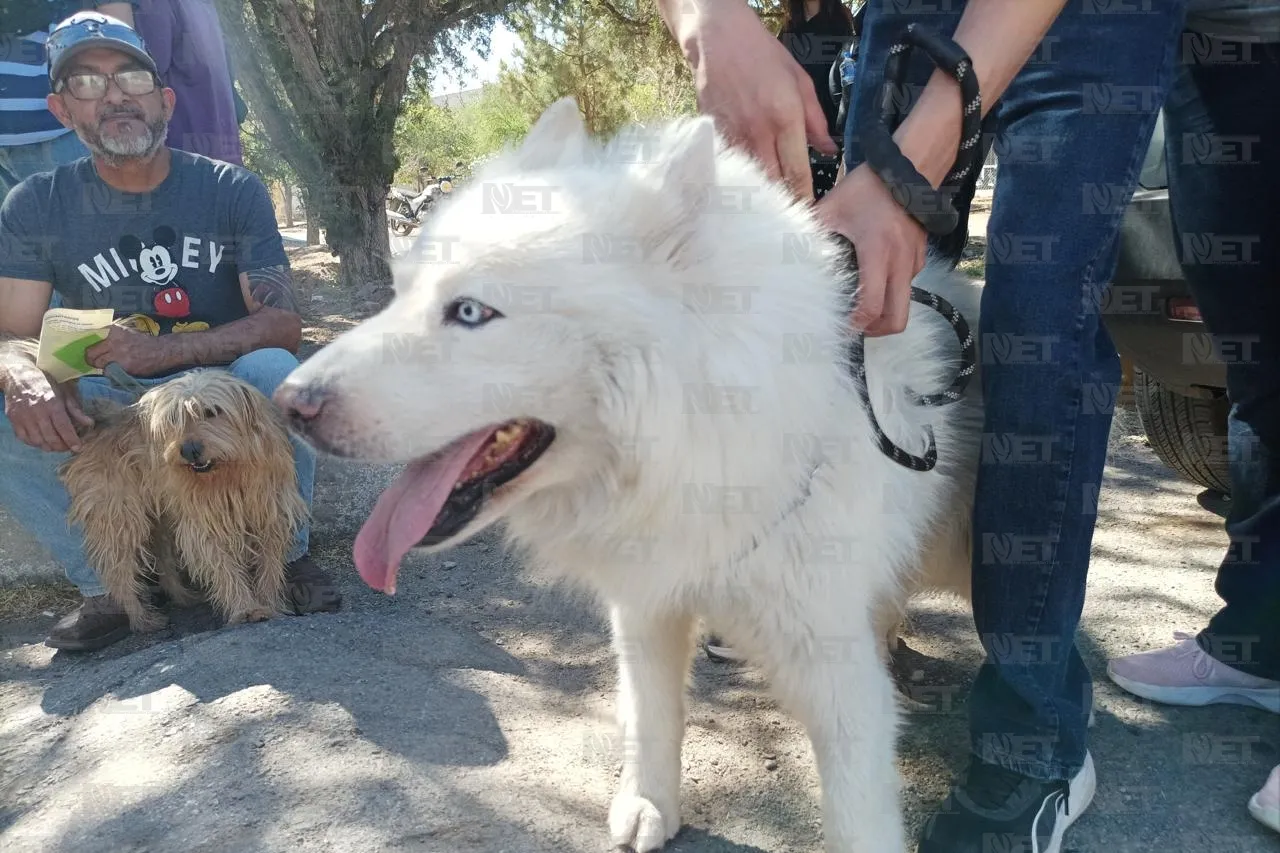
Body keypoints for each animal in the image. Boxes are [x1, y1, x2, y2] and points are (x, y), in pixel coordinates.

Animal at [60, 368, 309, 627]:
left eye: (212, 411)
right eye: (173, 419)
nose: (188, 450)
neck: (230, 474)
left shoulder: (272, 512)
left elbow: (269, 565)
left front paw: (270, 602)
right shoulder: (205, 523)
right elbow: (222, 566)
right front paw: (245, 608)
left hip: (161, 519)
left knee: (163, 558)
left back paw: (181, 597)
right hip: (120, 518)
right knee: (118, 571)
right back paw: (141, 619)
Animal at [277, 96, 977, 845]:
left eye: (470, 311)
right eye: (399, 293)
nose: (290, 404)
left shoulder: (836, 671)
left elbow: (857, 815)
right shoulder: (647, 601)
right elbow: (650, 714)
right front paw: (650, 805)